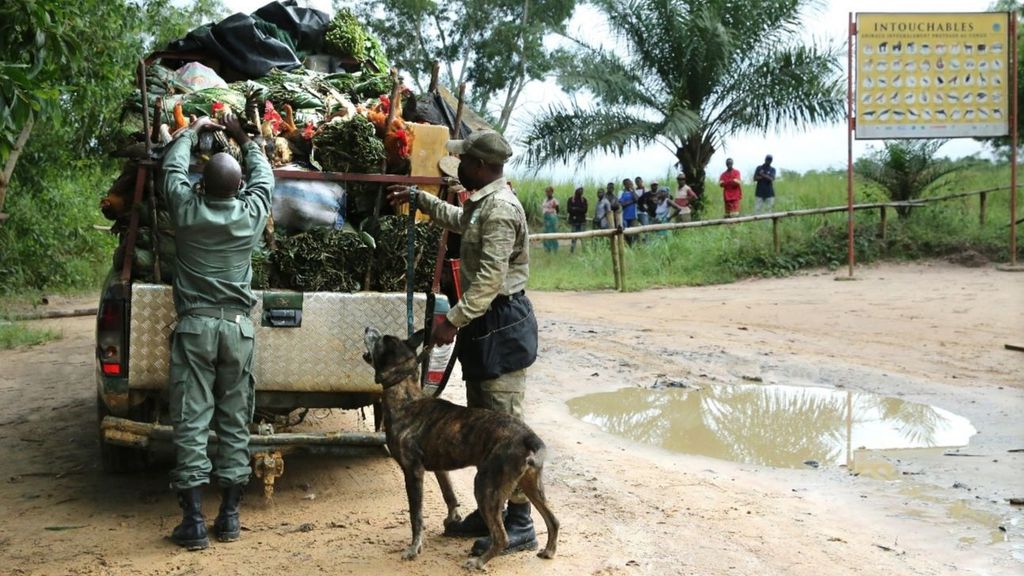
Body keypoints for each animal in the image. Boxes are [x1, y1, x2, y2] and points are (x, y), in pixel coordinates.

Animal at [362, 325, 561, 565]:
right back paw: (548, 551)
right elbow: (449, 495)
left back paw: (480, 561)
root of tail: (528, 436)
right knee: (553, 520)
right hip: (530, 484)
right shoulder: (439, 469)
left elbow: (415, 516)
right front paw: (452, 519)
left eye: (381, 339)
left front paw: (414, 548)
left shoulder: (413, 472)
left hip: (486, 486)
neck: (405, 395)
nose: (368, 327)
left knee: (502, 536)